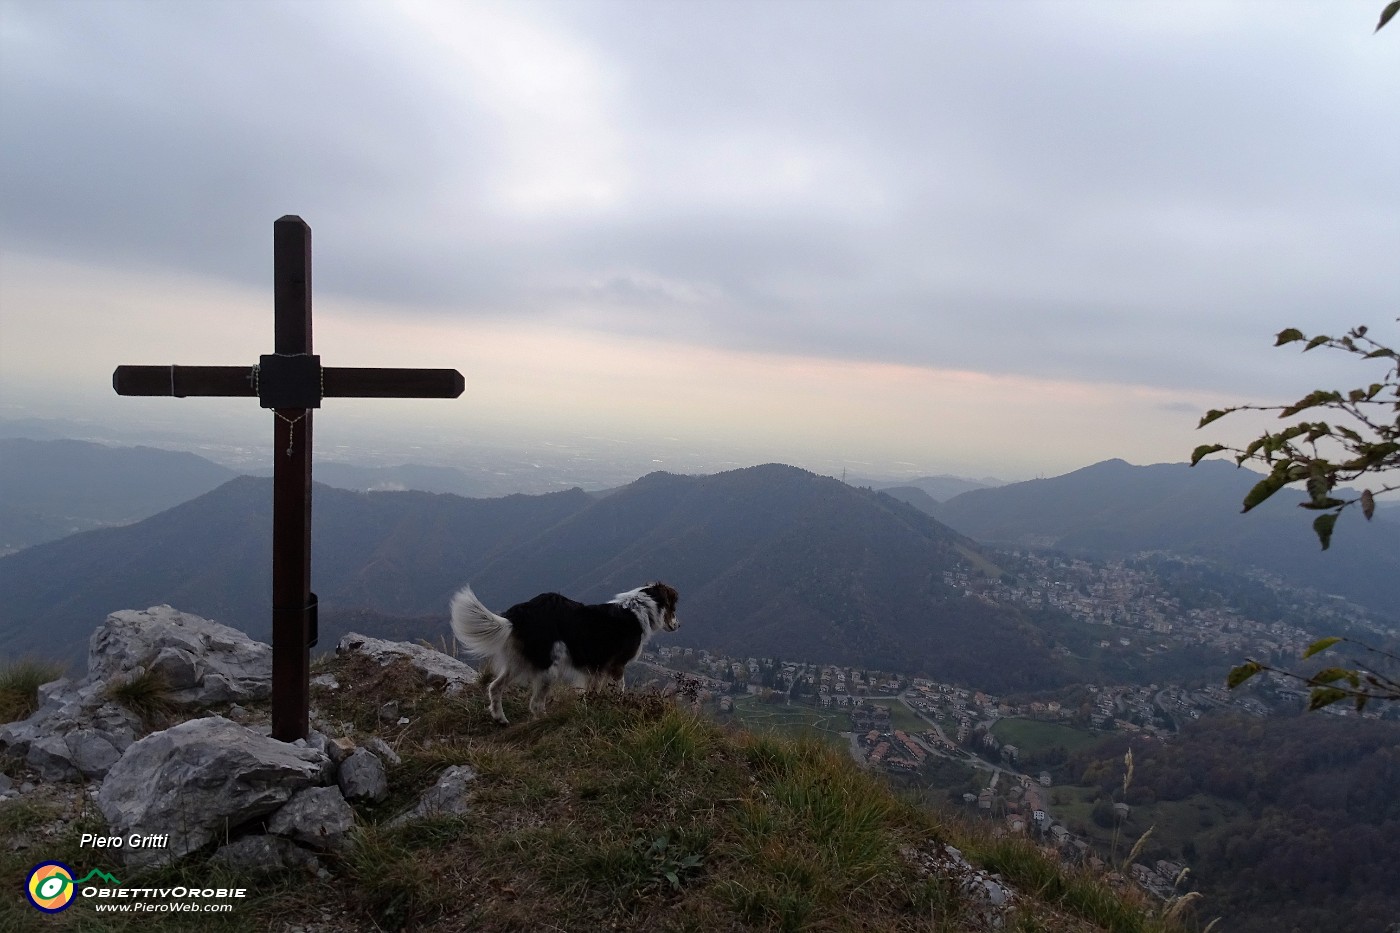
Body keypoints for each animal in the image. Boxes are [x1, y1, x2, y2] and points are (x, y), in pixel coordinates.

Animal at [450, 577, 680, 722]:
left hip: (519, 662)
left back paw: (500, 718)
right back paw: (545, 720)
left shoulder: (596, 669)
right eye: (674, 608)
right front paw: (617, 705)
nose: (679, 625)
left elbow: (594, 691)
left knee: (495, 687)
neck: (640, 609)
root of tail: (518, 615)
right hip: (549, 668)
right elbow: (619, 689)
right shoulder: (616, 666)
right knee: (535, 704)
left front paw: (592, 705)